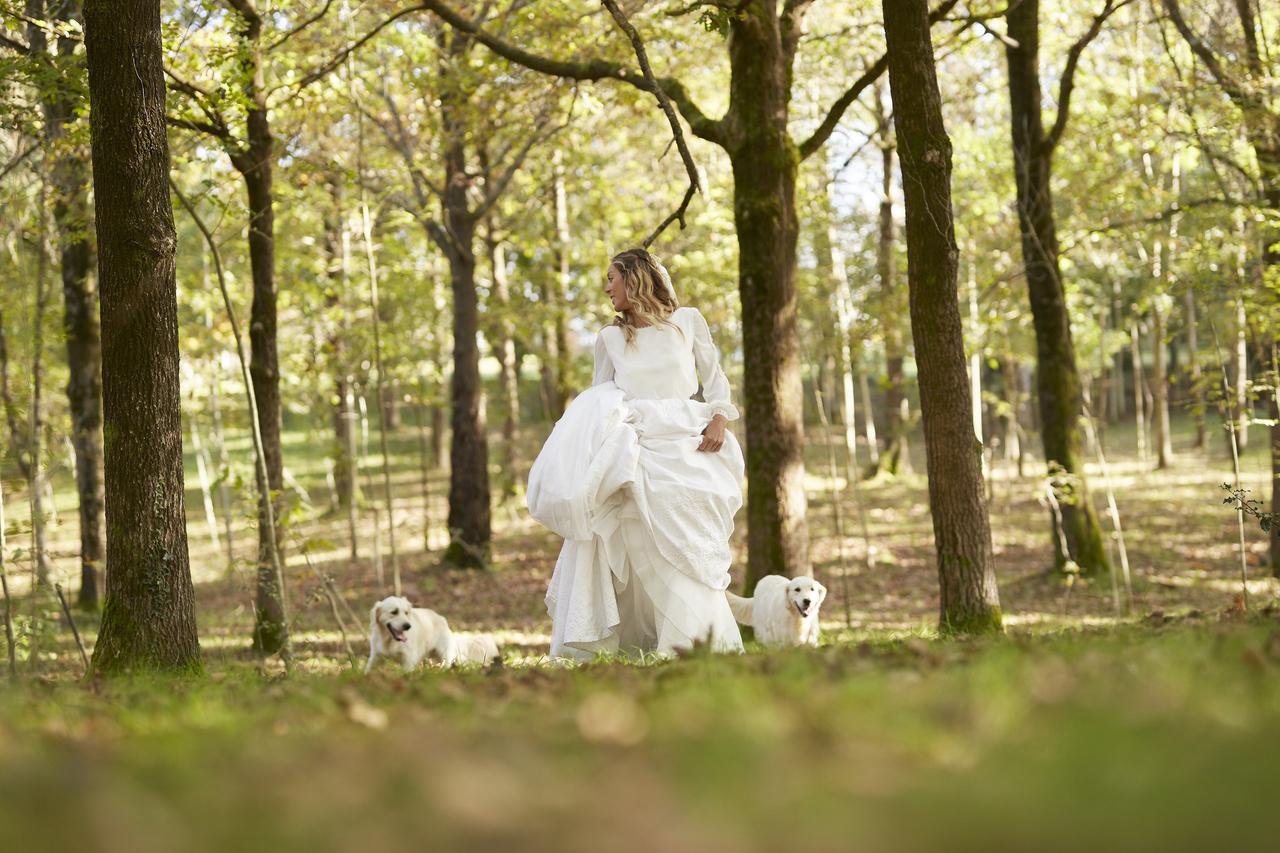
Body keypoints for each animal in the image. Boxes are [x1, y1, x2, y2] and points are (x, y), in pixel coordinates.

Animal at [366, 596, 499, 671]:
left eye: (406, 612)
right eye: (394, 612)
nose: (408, 626)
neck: (388, 640)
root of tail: (442, 619)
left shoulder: (408, 659)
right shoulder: (375, 657)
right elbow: (368, 670)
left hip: (446, 655)